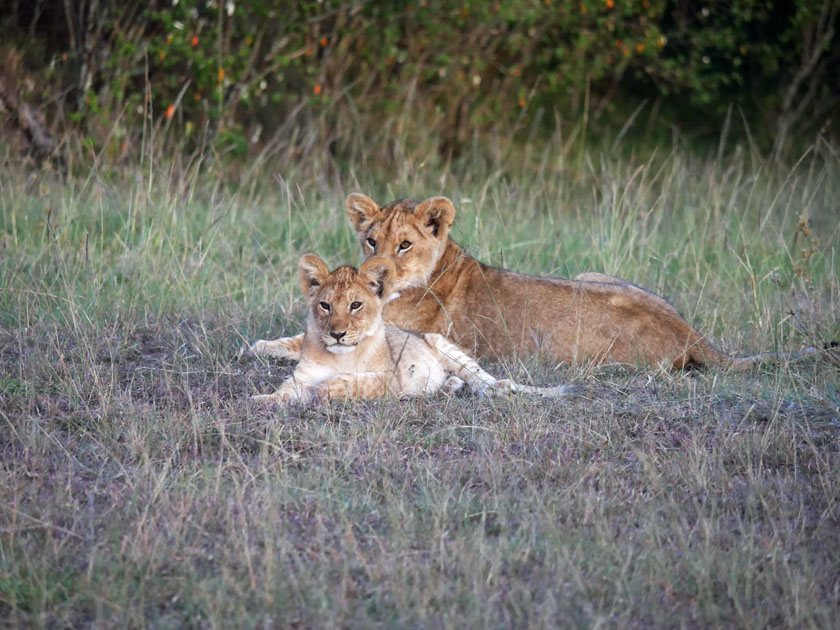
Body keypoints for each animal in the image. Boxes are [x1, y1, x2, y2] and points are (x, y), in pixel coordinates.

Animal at [253, 256, 568, 408]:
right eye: (325, 305)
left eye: (356, 305)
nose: (338, 334)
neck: (339, 356)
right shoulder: (301, 376)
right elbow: (285, 390)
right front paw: (264, 400)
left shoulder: (390, 379)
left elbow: (354, 382)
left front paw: (325, 389)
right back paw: (447, 387)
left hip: (446, 348)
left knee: (491, 383)